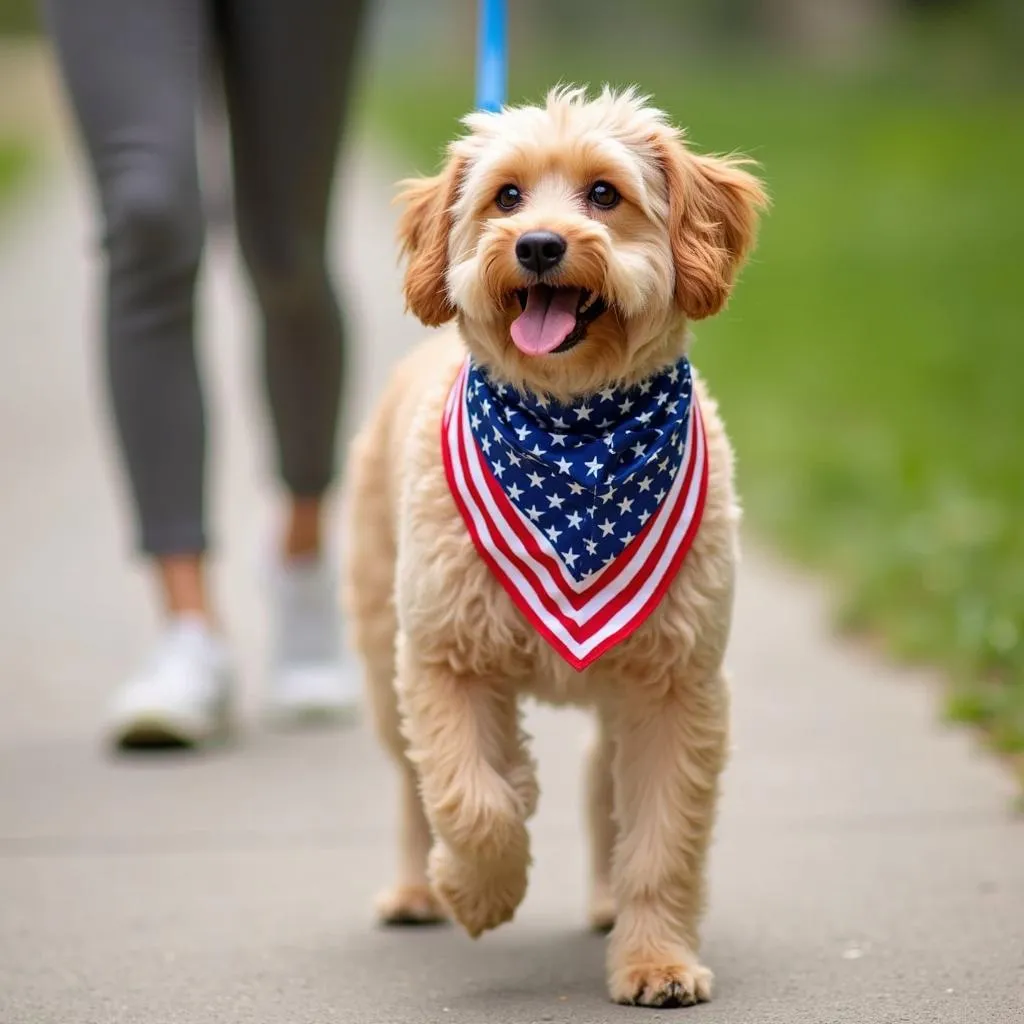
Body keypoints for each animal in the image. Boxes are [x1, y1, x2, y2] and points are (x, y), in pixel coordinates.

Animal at [344, 86, 770, 1007]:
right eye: (506, 197)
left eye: (605, 194)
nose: (538, 244)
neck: (574, 428)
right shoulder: (443, 659)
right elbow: (471, 800)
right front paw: (476, 889)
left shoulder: (678, 687)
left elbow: (662, 840)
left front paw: (657, 961)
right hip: (382, 652)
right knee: (410, 785)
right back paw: (417, 888)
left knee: (602, 786)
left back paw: (608, 905)